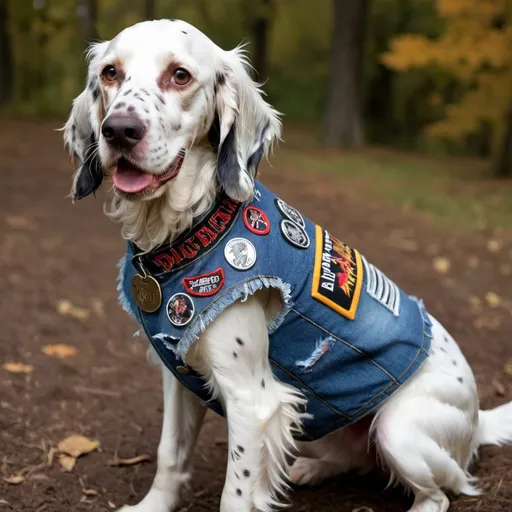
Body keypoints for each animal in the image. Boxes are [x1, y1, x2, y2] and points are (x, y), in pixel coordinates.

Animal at [63, 18, 512, 510]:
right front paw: (153, 505)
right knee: (354, 458)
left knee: (438, 494)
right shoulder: (179, 375)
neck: (190, 233)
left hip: (399, 429)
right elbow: (170, 454)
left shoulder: (253, 400)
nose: (119, 130)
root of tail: (479, 420)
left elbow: (236, 492)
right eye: (110, 73)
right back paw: (311, 469)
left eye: (180, 75)